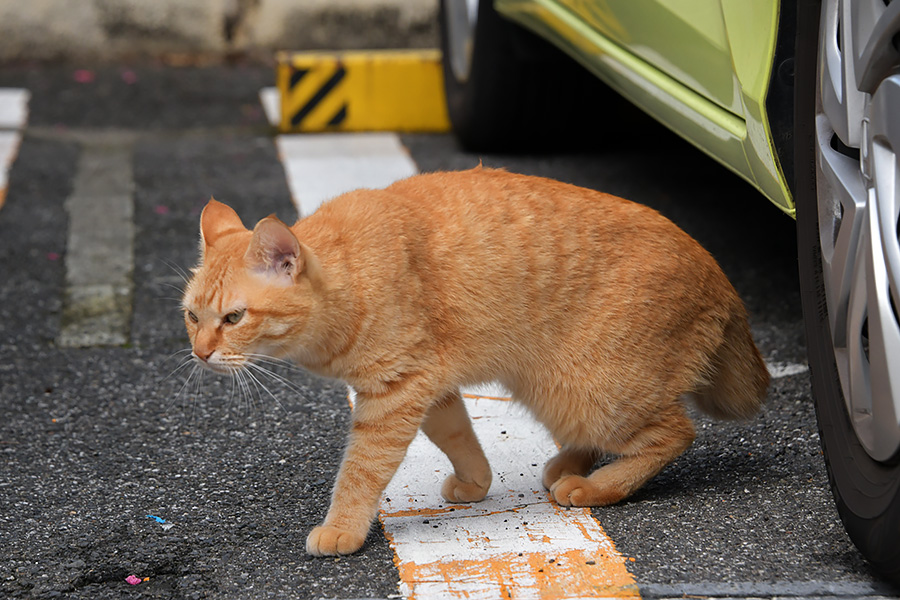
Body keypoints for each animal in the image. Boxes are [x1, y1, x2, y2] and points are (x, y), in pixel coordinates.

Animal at [181, 165, 768, 556]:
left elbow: (361, 469)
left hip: (592, 390)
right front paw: (476, 483)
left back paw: (595, 487)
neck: (350, 277)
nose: (201, 353)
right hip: (555, 387)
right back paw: (570, 465)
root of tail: (719, 274)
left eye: (233, 318)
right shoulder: (429, 382)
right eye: (191, 316)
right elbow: (458, 436)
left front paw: (342, 528)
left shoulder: (394, 392)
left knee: (675, 433)